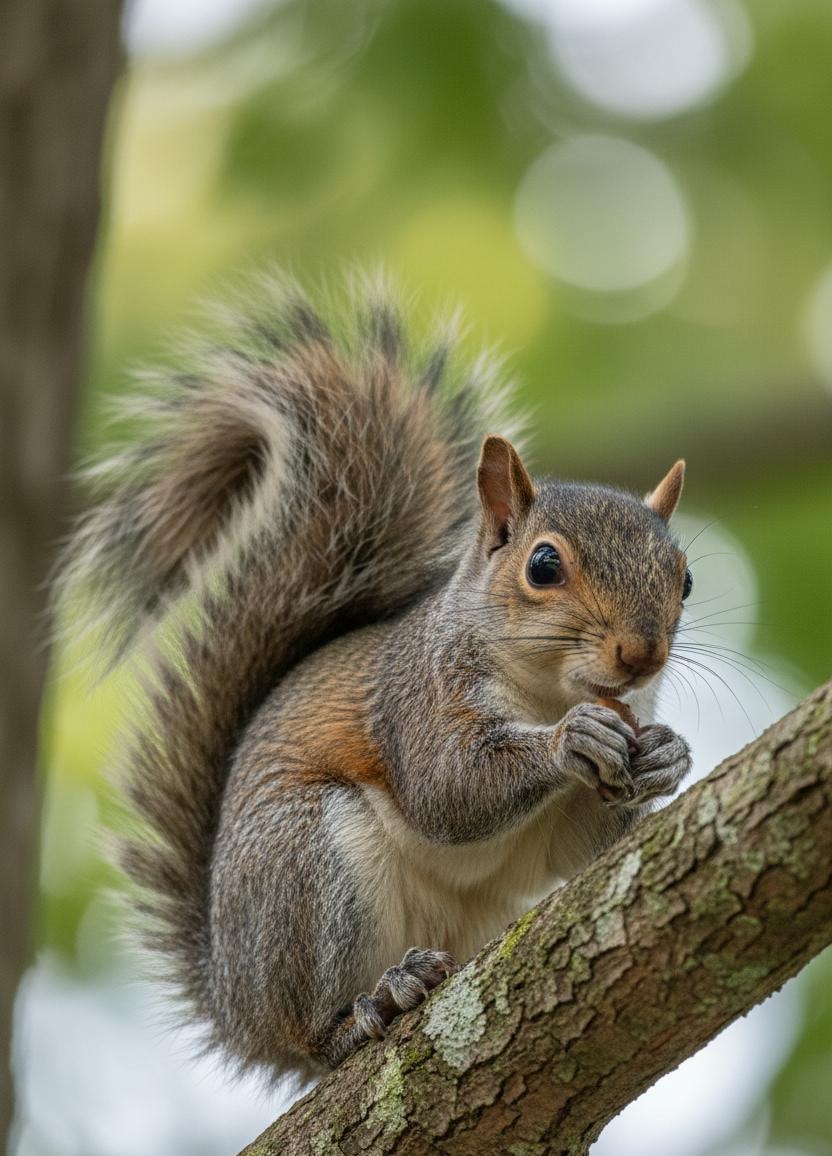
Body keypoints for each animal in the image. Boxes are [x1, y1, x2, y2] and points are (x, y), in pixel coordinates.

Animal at [61, 275, 692, 1083]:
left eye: (685, 578)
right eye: (543, 565)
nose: (641, 655)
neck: (547, 689)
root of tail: (236, 1008)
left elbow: (583, 848)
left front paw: (667, 756)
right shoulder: (416, 697)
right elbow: (447, 788)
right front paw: (568, 742)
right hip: (308, 872)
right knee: (311, 1031)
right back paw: (368, 1007)